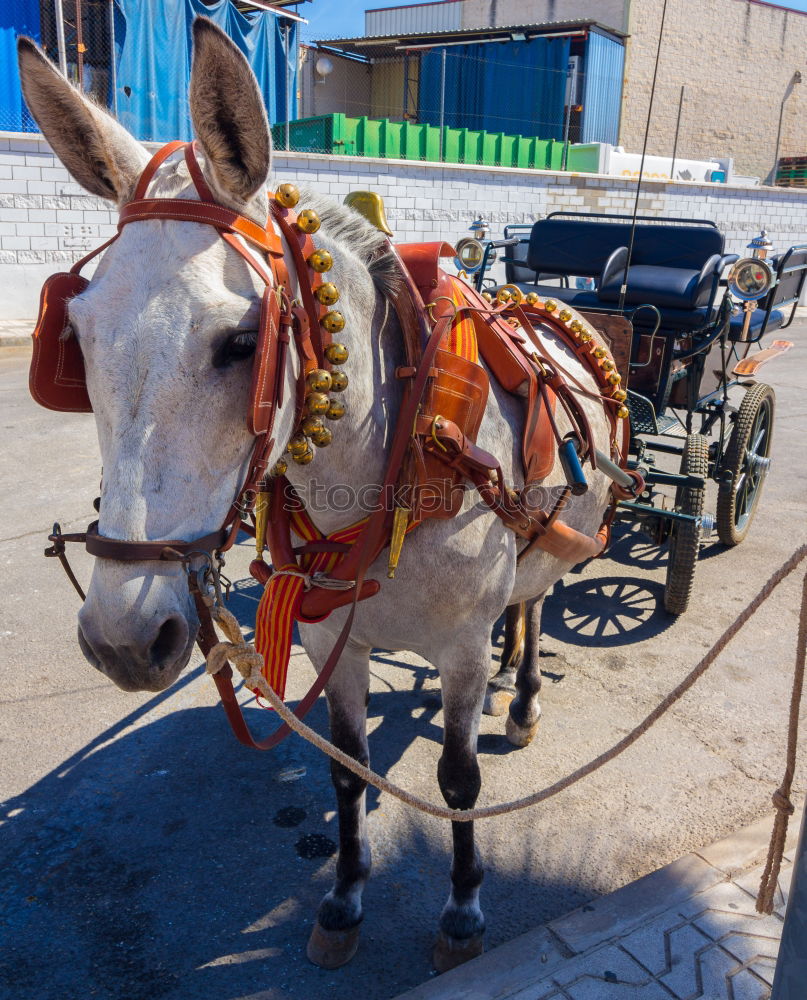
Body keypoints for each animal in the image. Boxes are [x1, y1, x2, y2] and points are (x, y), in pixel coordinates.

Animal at [17, 21, 612, 976]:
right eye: (75, 337)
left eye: (241, 342)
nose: (122, 638)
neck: (390, 458)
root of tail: (563, 304)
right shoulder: (333, 637)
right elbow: (343, 767)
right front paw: (342, 896)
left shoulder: (455, 647)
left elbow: (457, 781)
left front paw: (462, 909)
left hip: (557, 543)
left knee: (531, 605)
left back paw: (516, 698)